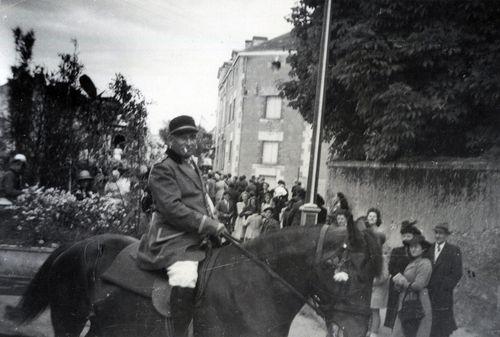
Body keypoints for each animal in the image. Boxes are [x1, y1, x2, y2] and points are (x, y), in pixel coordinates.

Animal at [5, 223, 380, 336]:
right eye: (351, 273)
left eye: (374, 275)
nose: (358, 330)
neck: (255, 286)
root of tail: (77, 245)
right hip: (69, 318)